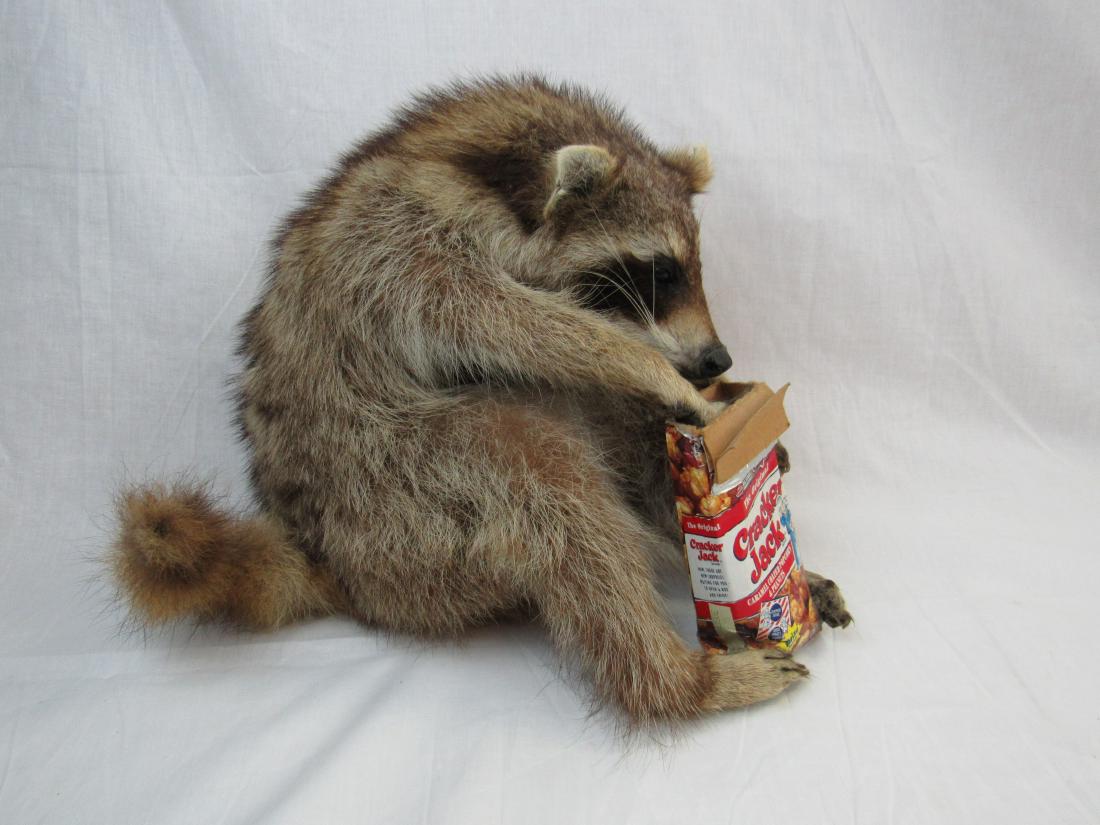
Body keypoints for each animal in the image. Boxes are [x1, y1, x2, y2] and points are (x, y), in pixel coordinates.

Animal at [112, 76, 850, 723]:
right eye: (660, 272)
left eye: (693, 268)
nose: (716, 361)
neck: (492, 172)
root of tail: (338, 567)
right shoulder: (396, 245)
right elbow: (501, 320)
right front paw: (638, 362)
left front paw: (717, 405)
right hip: (398, 484)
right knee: (557, 492)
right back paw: (676, 681)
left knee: (608, 435)